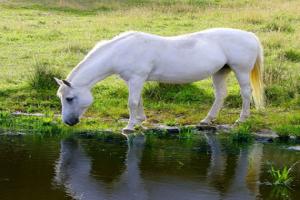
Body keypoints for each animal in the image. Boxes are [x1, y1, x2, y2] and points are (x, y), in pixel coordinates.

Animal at [55, 27, 264, 131]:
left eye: (69, 98)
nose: (68, 122)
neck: (121, 51)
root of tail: (250, 35)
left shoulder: (137, 79)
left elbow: (132, 102)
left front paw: (129, 126)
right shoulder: (134, 81)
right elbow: (138, 101)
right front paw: (140, 121)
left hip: (241, 70)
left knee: (246, 93)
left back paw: (241, 120)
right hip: (221, 72)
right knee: (220, 95)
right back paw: (207, 120)